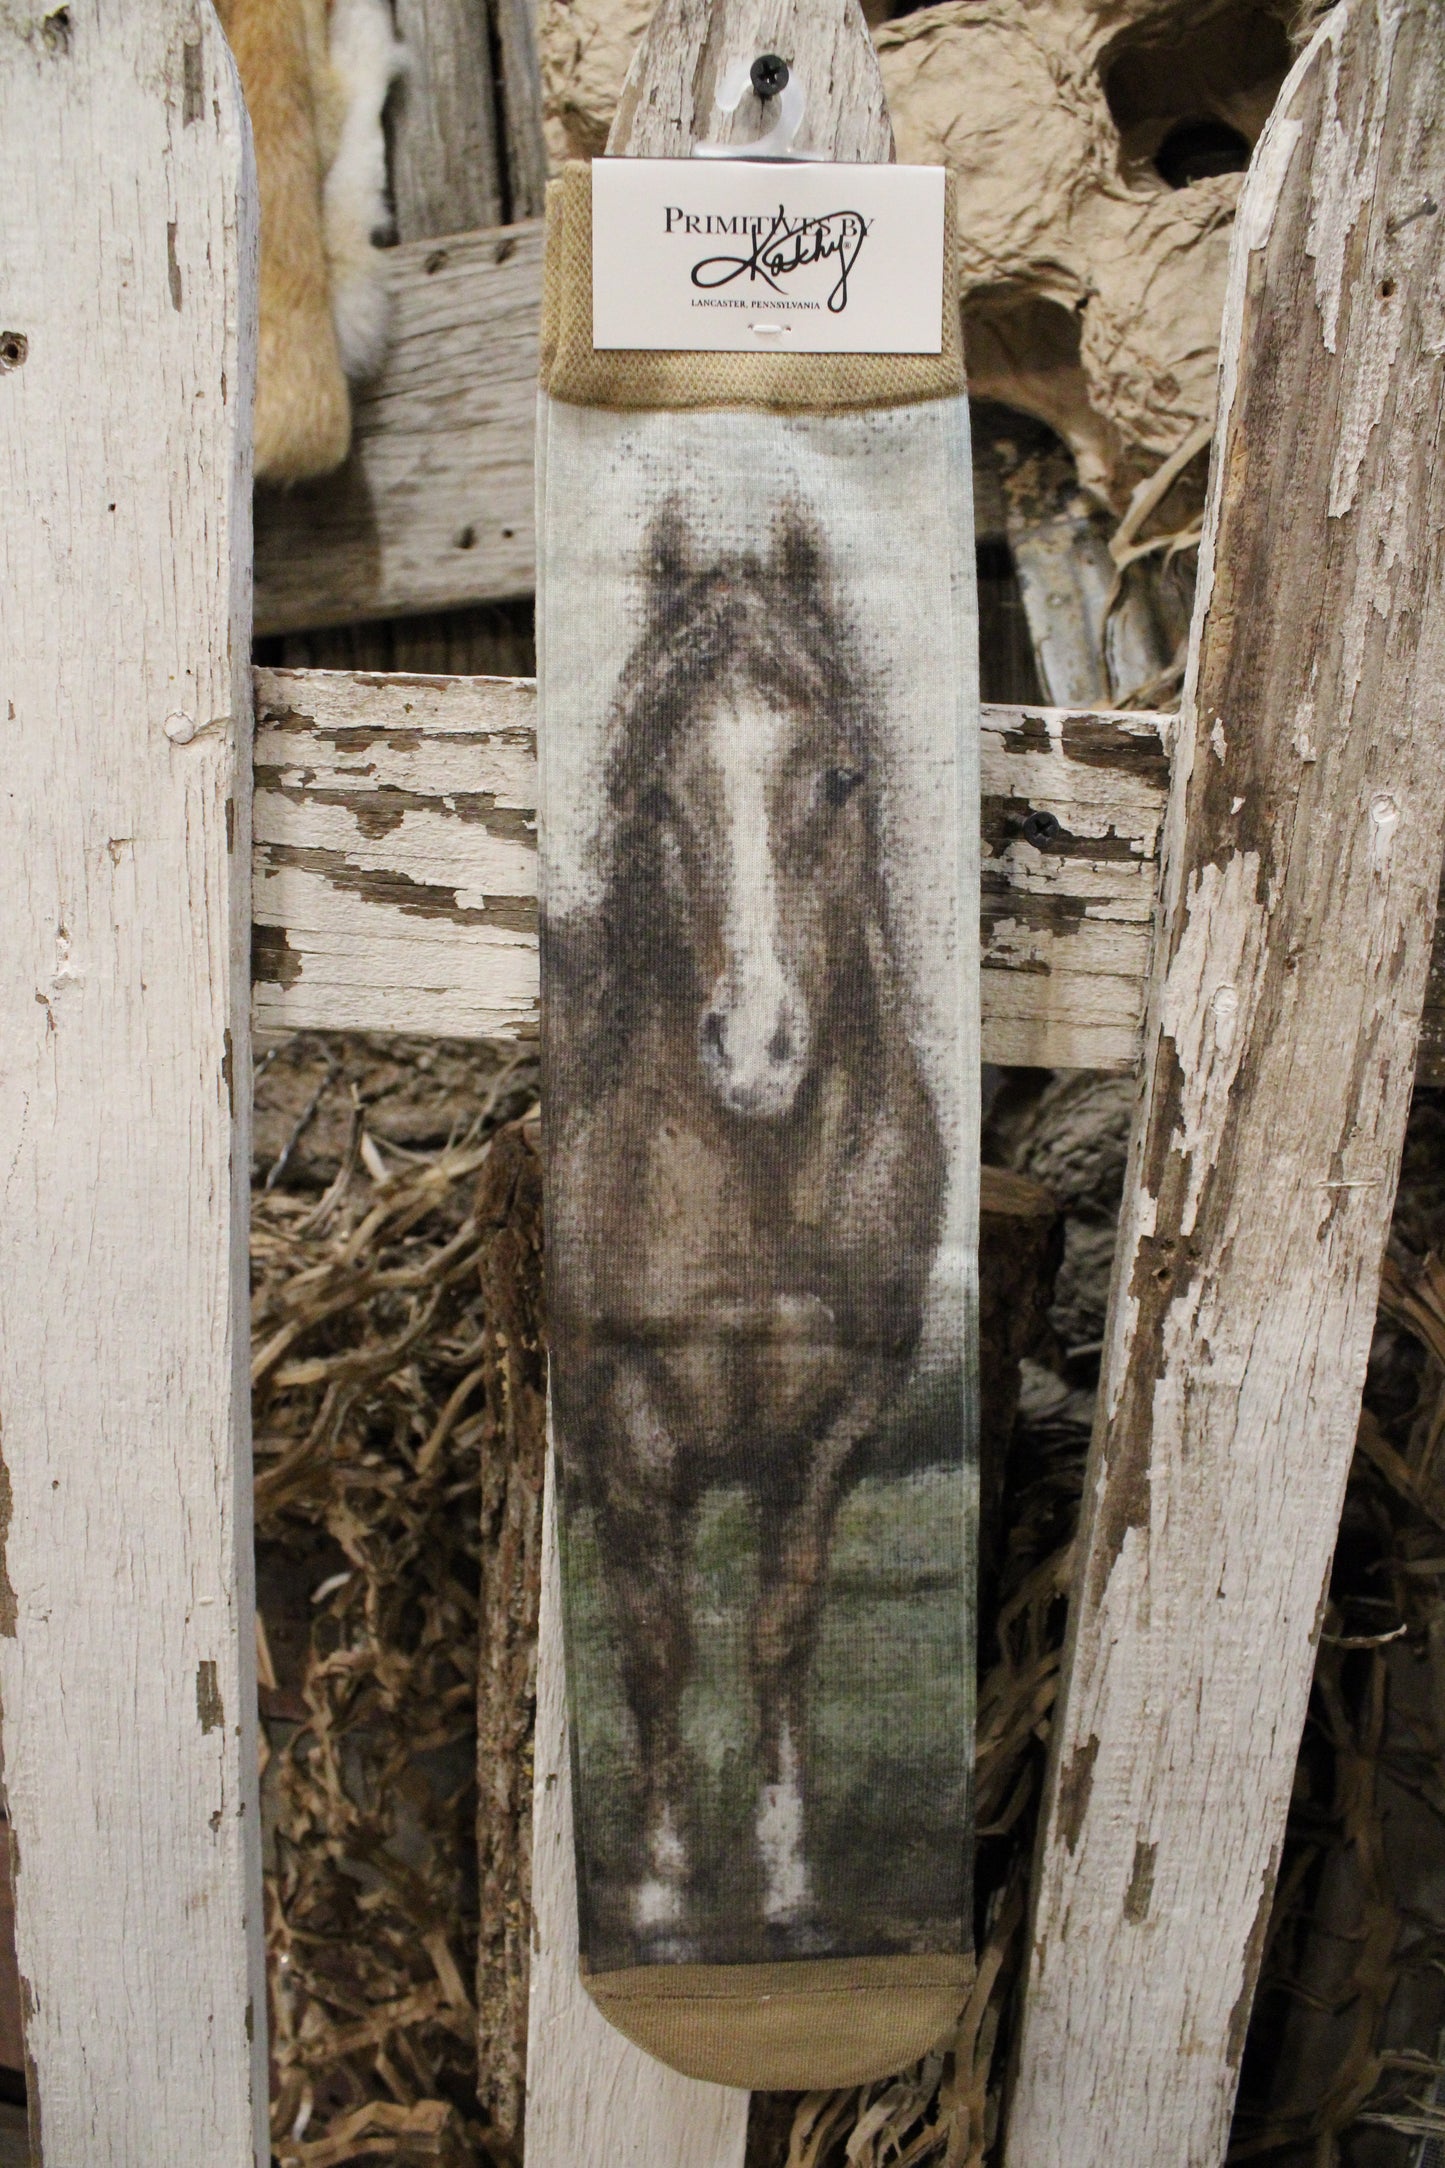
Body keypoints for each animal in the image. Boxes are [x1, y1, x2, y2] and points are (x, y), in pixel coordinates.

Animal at [545, 500, 946, 1964]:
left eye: (835, 778)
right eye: (656, 796)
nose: (758, 1050)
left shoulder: (831, 1434)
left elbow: (778, 1635)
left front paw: (788, 1890)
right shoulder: (628, 1426)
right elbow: (658, 1645)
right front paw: (662, 1896)